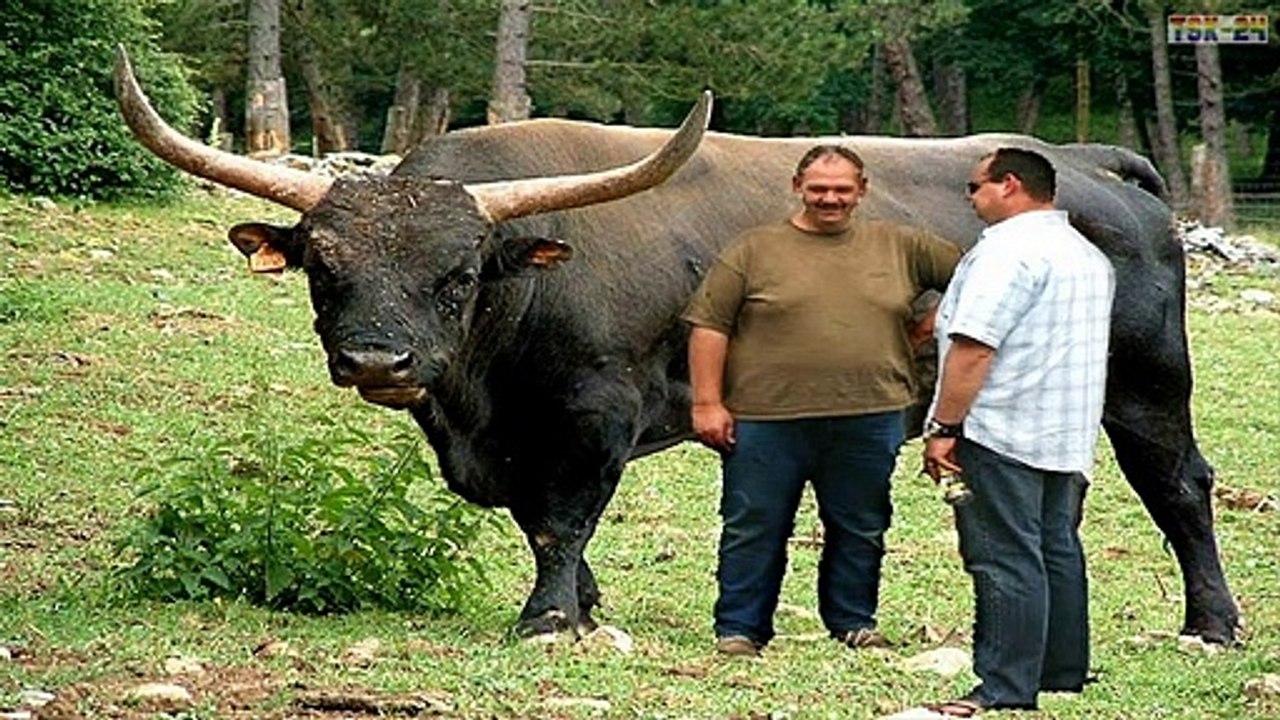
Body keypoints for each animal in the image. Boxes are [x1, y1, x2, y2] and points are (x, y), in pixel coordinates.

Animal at [113, 46, 1238, 644]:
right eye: (323, 267)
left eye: (460, 274)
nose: (379, 363)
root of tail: (1087, 164)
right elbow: (538, 524)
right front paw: (581, 609)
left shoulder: (592, 419)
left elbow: (560, 523)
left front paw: (546, 619)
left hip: (1146, 384)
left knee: (1179, 486)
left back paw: (1212, 623)